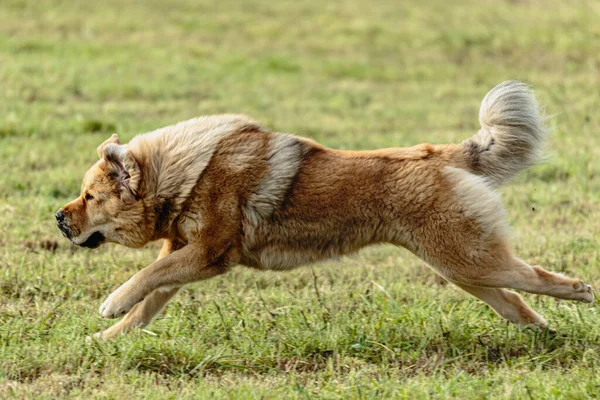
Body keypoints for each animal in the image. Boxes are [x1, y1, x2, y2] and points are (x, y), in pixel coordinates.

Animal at [57, 80, 596, 338]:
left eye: (88, 197)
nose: (59, 218)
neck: (184, 173)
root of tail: (437, 153)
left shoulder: (209, 256)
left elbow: (143, 280)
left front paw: (110, 304)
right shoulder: (183, 256)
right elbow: (147, 304)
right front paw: (104, 340)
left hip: (468, 259)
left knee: (540, 278)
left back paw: (582, 293)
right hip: (465, 269)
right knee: (518, 303)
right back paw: (545, 335)